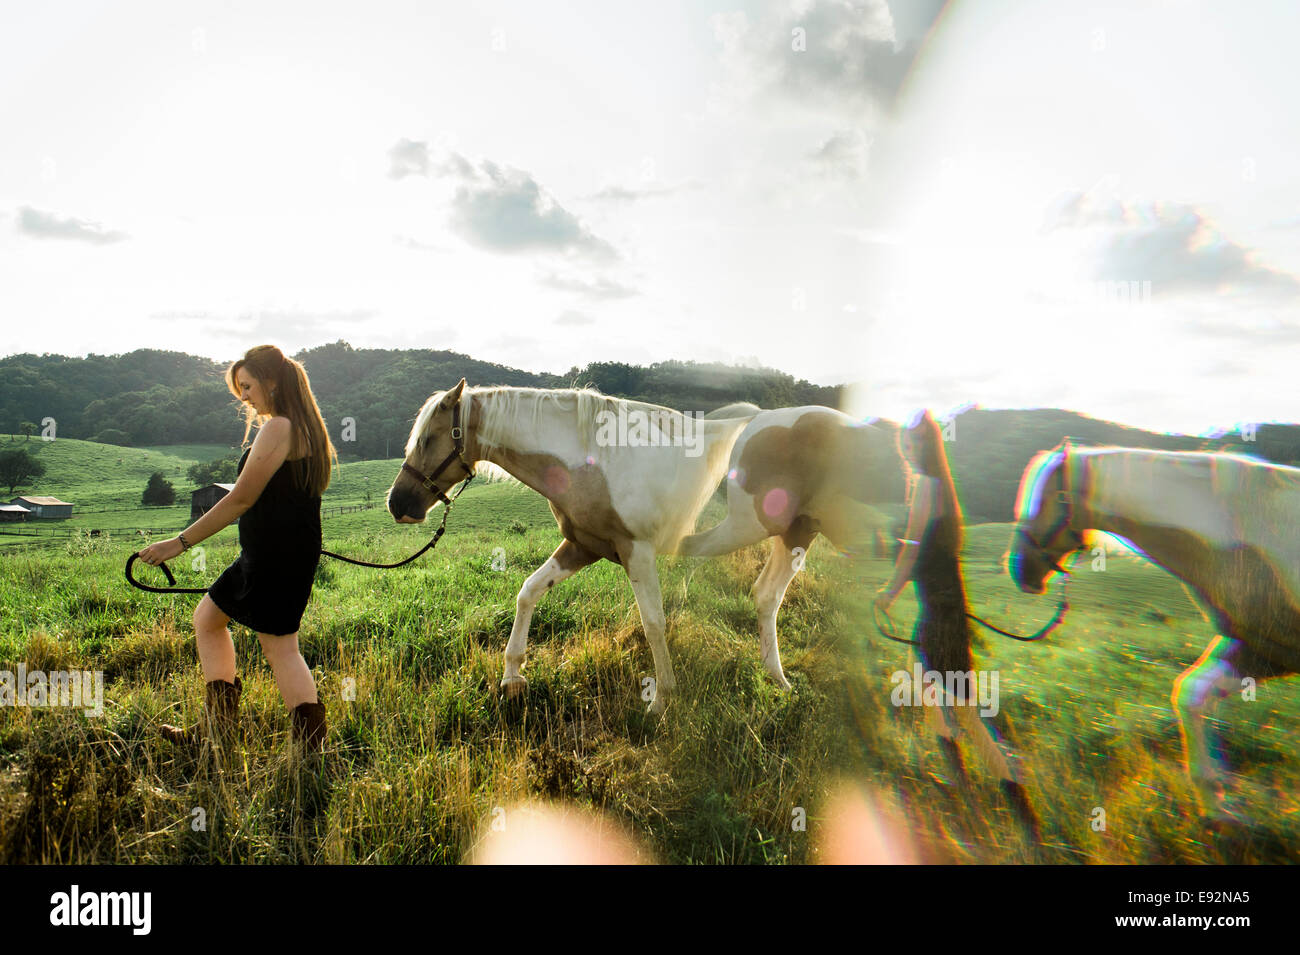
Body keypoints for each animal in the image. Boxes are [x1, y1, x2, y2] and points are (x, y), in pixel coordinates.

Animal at [384, 376, 754, 712]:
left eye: (427, 440)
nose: (397, 503)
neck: (598, 462)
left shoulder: (638, 551)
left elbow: (653, 623)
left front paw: (662, 698)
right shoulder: (583, 546)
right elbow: (529, 591)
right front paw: (512, 676)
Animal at [676, 407, 899, 691]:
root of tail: (762, 415)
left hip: (796, 534)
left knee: (766, 594)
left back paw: (777, 676)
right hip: (754, 524)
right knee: (691, 545)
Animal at [1013, 441, 1300, 821]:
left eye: (1046, 498)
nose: (1019, 570)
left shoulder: (1276, 651)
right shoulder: (1261, 648)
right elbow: (1191, 695)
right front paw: (1216, 804)